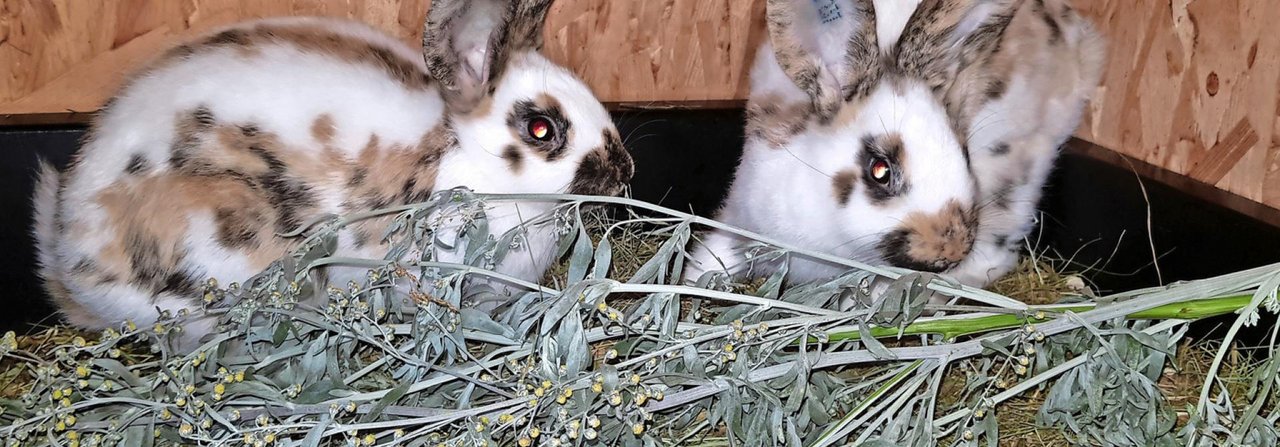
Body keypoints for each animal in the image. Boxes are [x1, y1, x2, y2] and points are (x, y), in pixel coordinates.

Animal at [685, 0, 1104, 294]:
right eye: (880, 170)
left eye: (964, 154)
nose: (950, 250)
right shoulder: (740, 225)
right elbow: (711, 261)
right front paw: (691, 283)